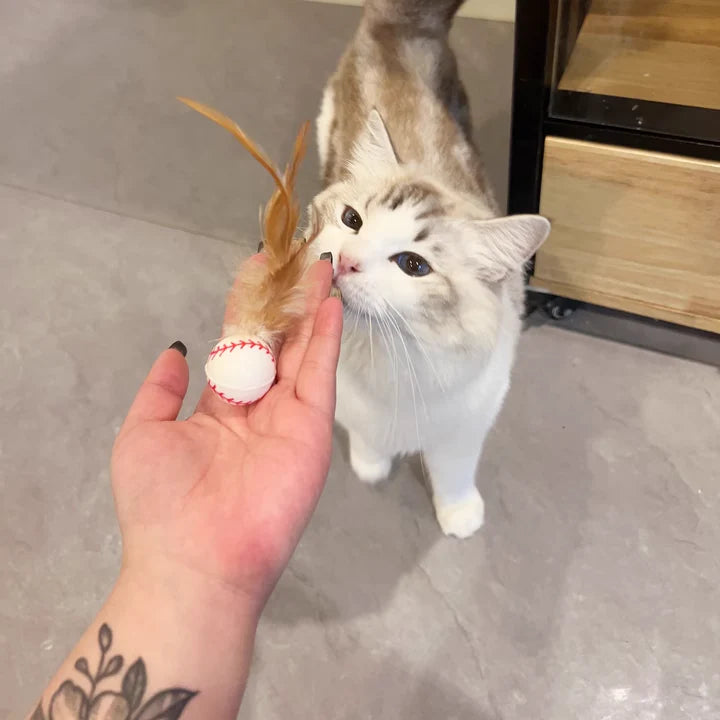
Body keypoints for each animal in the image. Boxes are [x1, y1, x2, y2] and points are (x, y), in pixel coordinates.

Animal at [307, 0, 550, 538]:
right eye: (352, 221)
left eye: (413, 265)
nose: (346, 261)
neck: (392, 363)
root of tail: (399, 22)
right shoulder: (352, 409)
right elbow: (368, 443)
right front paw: (371, 467)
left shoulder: (464, 427)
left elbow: (453, 475)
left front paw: (459, 516)